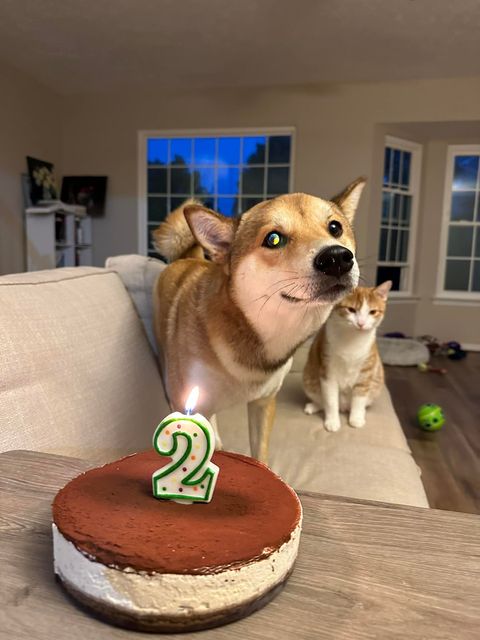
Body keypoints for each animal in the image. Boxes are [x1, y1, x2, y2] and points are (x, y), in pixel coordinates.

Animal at [152, 178, 365, 463]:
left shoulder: (263, 403)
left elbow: (259, 452)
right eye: (273, 239)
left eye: (335, 227)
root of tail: (189, 257)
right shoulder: (189, 401)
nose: (336, 258)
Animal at [302, 281, 392, 432]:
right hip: (309, 378)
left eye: (372, 312)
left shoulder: (366, 372)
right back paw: (314, 406)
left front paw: (356, 418)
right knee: (322, 401)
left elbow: (359, 399)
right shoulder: (328, 371)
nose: (361, 323)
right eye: (351, 309)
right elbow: (330, 400)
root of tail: (344, 407)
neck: (352, 338)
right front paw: (332, 421)